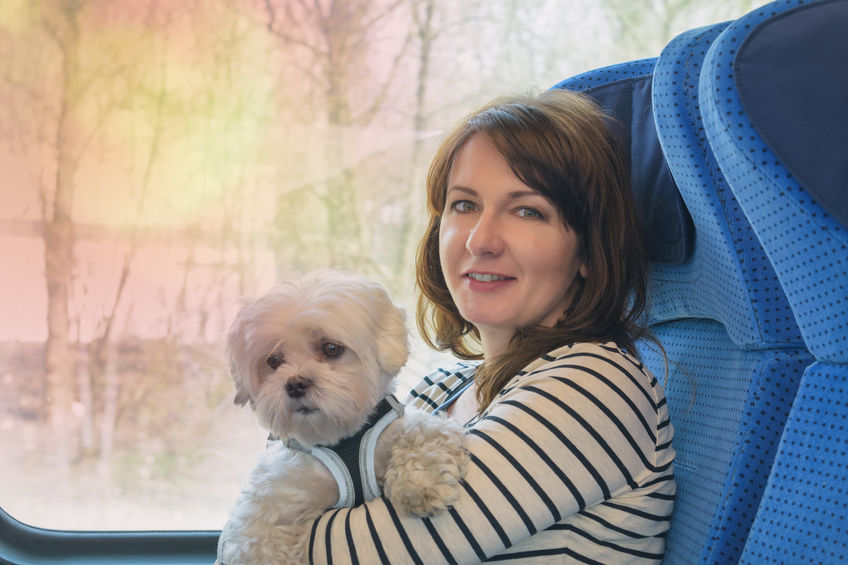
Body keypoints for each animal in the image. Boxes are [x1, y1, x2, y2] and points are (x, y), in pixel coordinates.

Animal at [215, 270, 468, 560]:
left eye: (331, 349)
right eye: (273, 361)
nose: (295, 384)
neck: (342, 438)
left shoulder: (407, 426)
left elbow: (422, 434)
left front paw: (420, 483)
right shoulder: (277, 492)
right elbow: (255, 536)